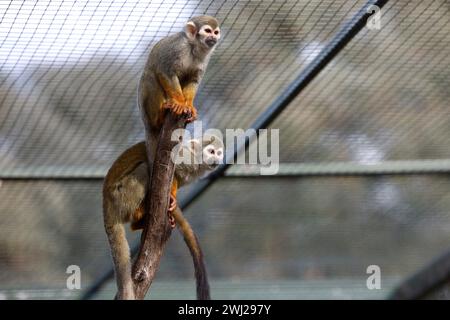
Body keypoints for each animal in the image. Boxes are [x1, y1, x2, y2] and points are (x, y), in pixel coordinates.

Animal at [104, 136, 225, 300]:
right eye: (211, 151)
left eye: (218, 153)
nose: (216, 159)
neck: (197, 162)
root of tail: (106, 201)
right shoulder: (185, 157)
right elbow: (172, 171)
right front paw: (171, 200)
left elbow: (176, 179)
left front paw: (173, 202)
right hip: (121, 196)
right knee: (145, 168)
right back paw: (139, 213)